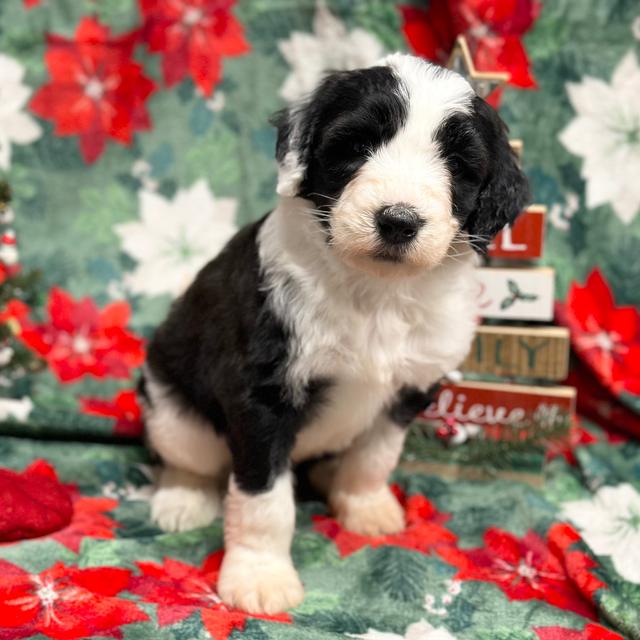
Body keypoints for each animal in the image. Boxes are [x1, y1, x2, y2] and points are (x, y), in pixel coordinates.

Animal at [141, 53, 528, 616]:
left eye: (458, 165)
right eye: (357, 145)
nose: (398, 221)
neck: (377, 291)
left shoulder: (411, 384)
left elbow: (375, 456)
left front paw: (366, 507)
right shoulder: (263, 392)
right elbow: (264, 498)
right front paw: (260, 576)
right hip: (171, 403)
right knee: (187, 456)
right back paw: (182, 499)